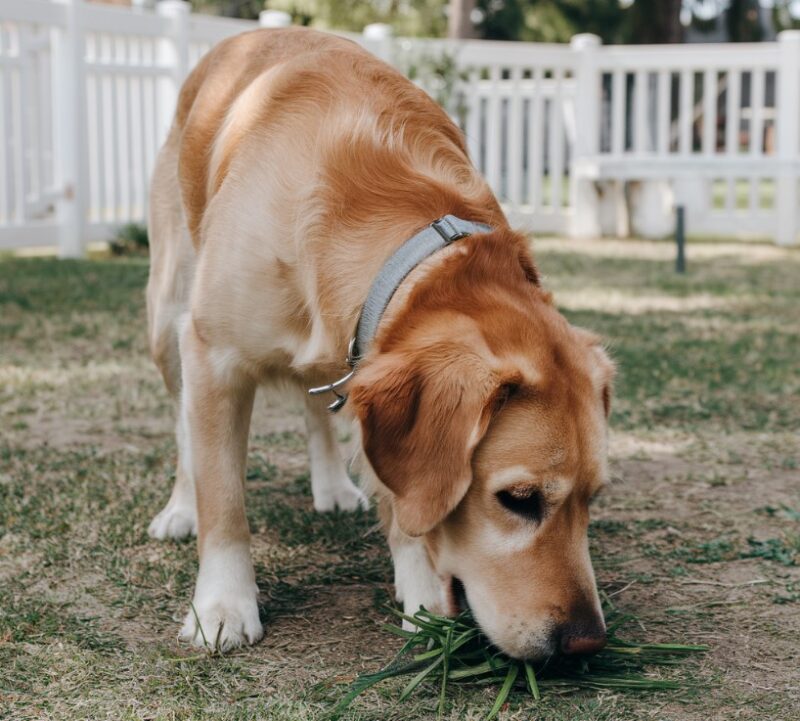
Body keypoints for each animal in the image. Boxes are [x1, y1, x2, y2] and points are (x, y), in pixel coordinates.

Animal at [145, 28, 612, 660]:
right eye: (518, 499)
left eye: (593, 498)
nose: (587, 643)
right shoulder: (213, 356)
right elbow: (223, 499)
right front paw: (221, 606)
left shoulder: (365, 364)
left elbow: (404, 500)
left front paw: (422, 599)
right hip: (167, 319)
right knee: (183, 431)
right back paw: (179, 509)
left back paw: (332, 486)